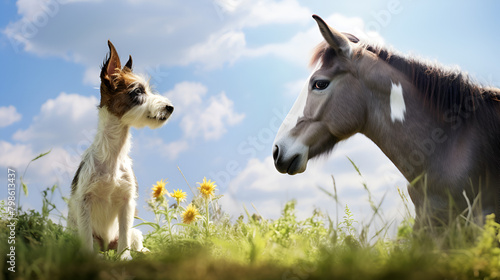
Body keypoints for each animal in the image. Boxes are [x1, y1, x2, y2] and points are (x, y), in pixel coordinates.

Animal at [68, 40, 174, 260]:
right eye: (137, 92)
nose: (170, 107)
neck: (113, 153)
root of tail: (107, 245)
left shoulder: (127, 202)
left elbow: (124, 234)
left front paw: (124, 257)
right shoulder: (84, 202)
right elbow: (86, 238)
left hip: (136, 232)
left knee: (132, 239)